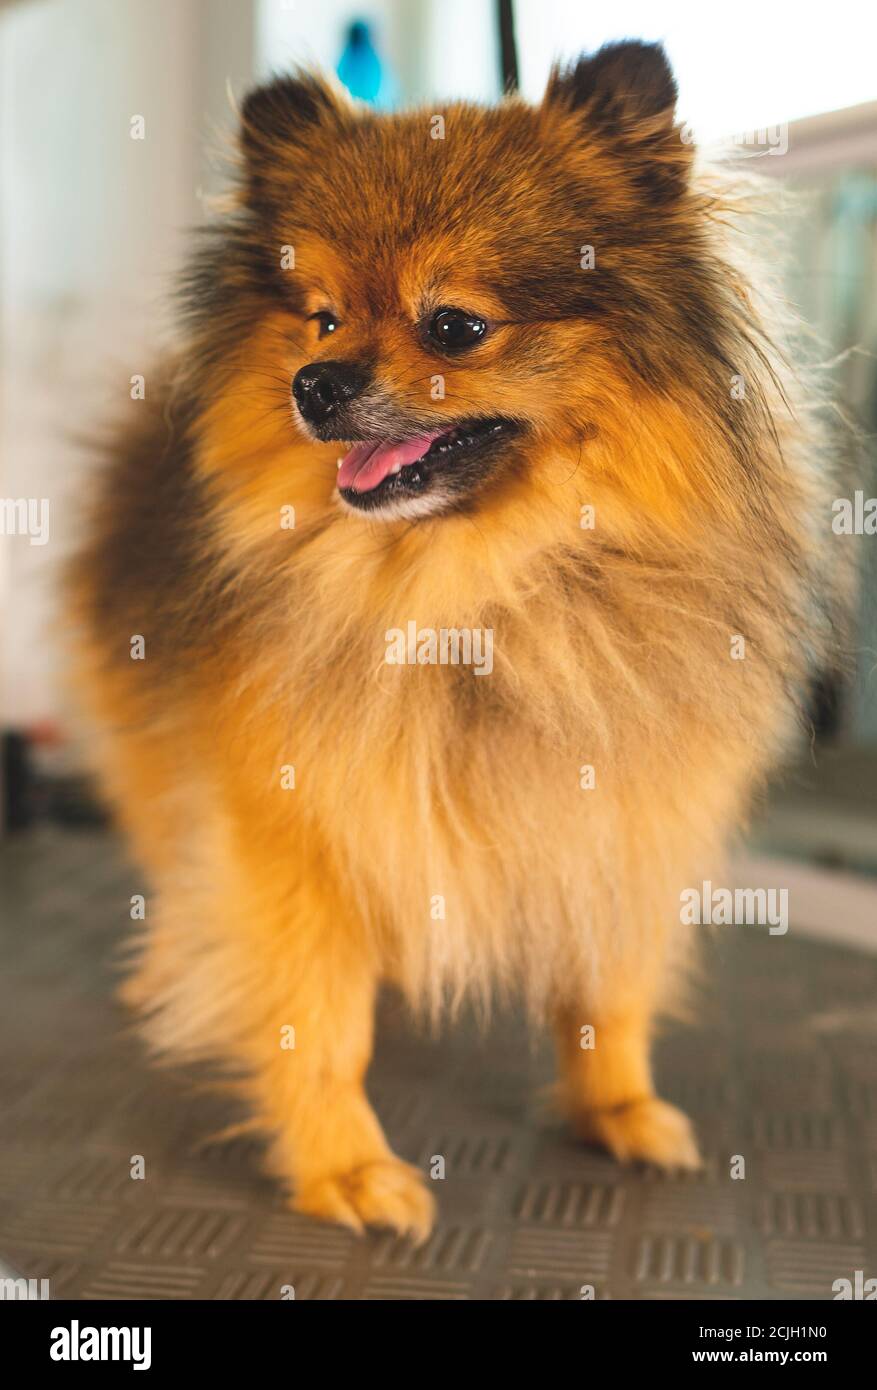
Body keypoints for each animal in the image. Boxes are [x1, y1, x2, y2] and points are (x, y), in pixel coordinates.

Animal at [70, 43, 845, 1239]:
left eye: (454, 327)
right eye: (320, 318)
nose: (314, 385)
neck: (476, 599)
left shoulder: (625, 808)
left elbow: (609, 984)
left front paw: (616, 1105)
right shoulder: (289, 825)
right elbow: (315, 1015)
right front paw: (343, 1164)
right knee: (168, 848)